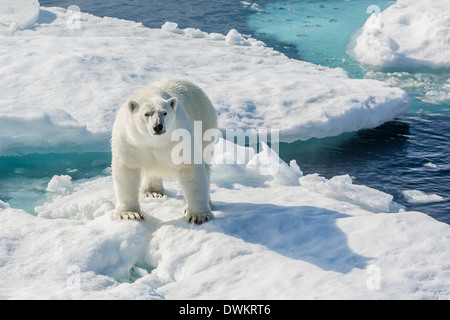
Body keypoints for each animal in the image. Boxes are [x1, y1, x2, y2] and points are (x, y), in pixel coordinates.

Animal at [112, 79, 218, 224]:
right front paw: (130, 214)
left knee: (205, 162)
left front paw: (199, 216)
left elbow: (190, 166)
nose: (158, 126)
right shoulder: (130, 142)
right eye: (147, 113)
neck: (153, 141)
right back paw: (152, 191)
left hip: (205, 124)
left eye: (164, 113)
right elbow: (127, 169)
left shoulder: (179, 137)